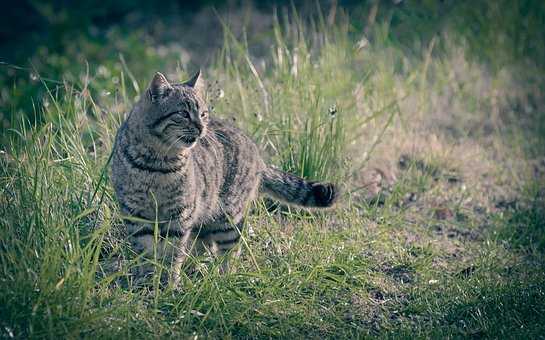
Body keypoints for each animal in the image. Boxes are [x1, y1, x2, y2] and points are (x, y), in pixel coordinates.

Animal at [110, 70, 338, 282]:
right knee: (205, 246)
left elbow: (171, 255)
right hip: (205, 218)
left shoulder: (179, 216)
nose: (201, 127)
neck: (158, 164)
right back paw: (196, 271)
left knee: (229, 253)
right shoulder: (136, 215)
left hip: (228, 219)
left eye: (203, 114)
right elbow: (146, 254)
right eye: (183, 113)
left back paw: (222, 279)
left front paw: (167, 283)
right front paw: (148, 282)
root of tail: (258, 154)